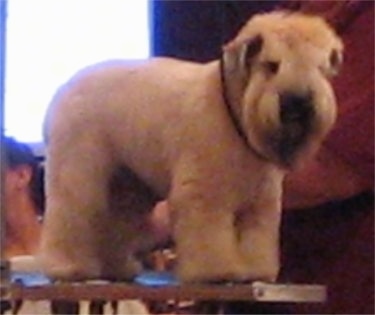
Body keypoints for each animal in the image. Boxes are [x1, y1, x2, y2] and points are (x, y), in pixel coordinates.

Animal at [39, 11, 344, 284]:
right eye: (271, 65)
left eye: (320, 68)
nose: (299, 102)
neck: (236, 114)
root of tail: (62, 91)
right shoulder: (205, 192)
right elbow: (209, 235)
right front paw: (218, 271)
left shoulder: (259, 203)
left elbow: (255, 239)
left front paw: (255, 270)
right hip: (79, 174)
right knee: (70, 215)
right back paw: (69, 267)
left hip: (125, 185)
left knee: (115, 222)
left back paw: (116, 267)